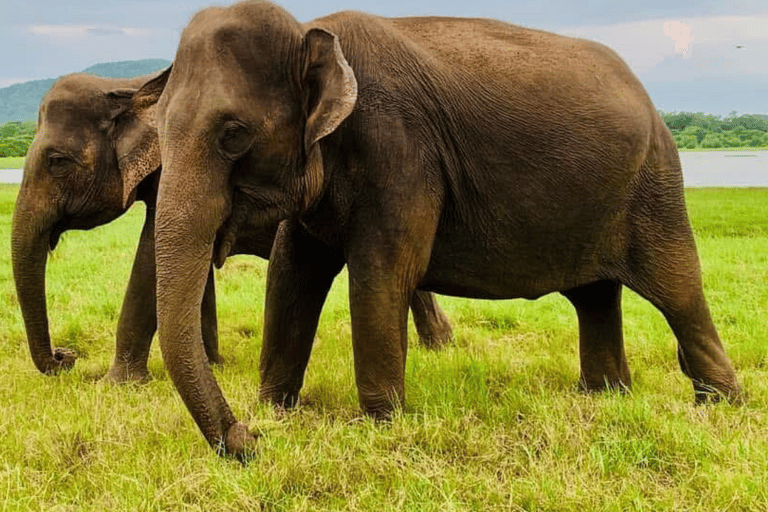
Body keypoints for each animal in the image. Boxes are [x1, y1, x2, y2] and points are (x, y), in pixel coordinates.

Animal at [10, 71, 450, 380]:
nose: (65, 357)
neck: (128, 87)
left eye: (57, 162)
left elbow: (150, 263)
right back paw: (441, 346)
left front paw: (119, 384)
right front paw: (215, 363)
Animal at [142, 0, 736, 456]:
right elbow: (292, 274)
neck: (310, 31)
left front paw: (380, 427)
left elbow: (381, 274)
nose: (246, 439)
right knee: (595, 297)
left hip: (655, 186)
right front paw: (279, 409)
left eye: (233, 135)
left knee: (679, 290)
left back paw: (719, 404)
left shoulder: (401, 152)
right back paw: (606, 396)